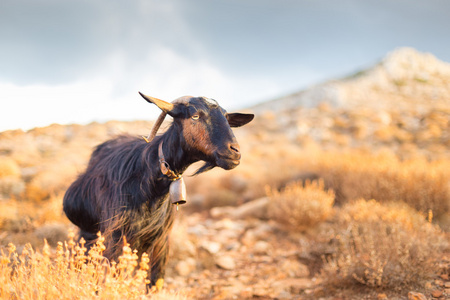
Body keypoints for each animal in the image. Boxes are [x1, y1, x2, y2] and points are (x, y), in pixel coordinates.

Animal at [62, 93, 253, 288]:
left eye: (227, 118)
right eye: (195, 116)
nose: (234, 152)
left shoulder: (160, 241)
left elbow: (155, 282)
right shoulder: (115, 237)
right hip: (88, 234)